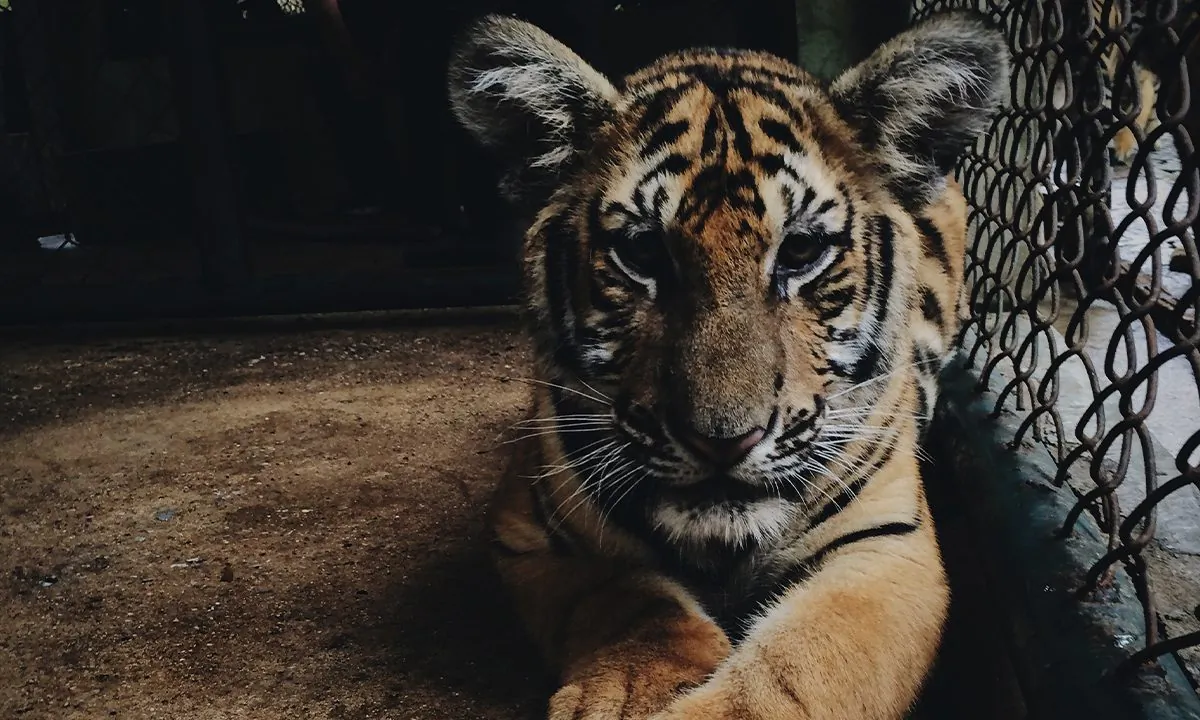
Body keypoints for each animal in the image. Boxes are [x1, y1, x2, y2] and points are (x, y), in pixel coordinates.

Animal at [447, 10, 1008, 720]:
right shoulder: (528, 528)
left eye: (801, 251)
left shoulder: (888, 545)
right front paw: (628, 690)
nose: (722, 441)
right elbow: (628, 596)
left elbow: (800, 672)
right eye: (642, 253)